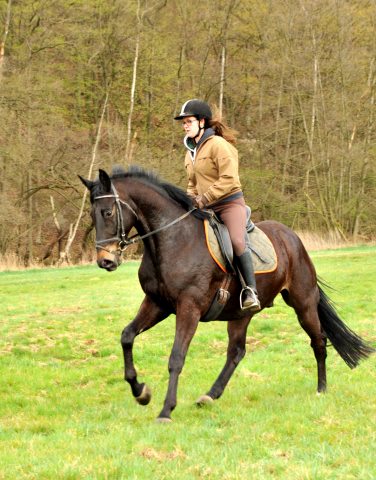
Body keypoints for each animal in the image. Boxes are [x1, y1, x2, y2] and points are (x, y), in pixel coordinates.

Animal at [78, 167, 374, 422]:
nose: (105, 261)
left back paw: (321, 389)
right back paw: (210, 395)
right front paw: (141, 392)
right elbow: (127, 336)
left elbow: (176, 357)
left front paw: (165, 410)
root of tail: (293, 238)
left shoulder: (189, 308)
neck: (173, 240)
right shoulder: (157, 304)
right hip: (240, 313)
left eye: (107, 212)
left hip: (303, 303)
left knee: (318, 341)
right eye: (92, 216)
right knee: (236, 351)